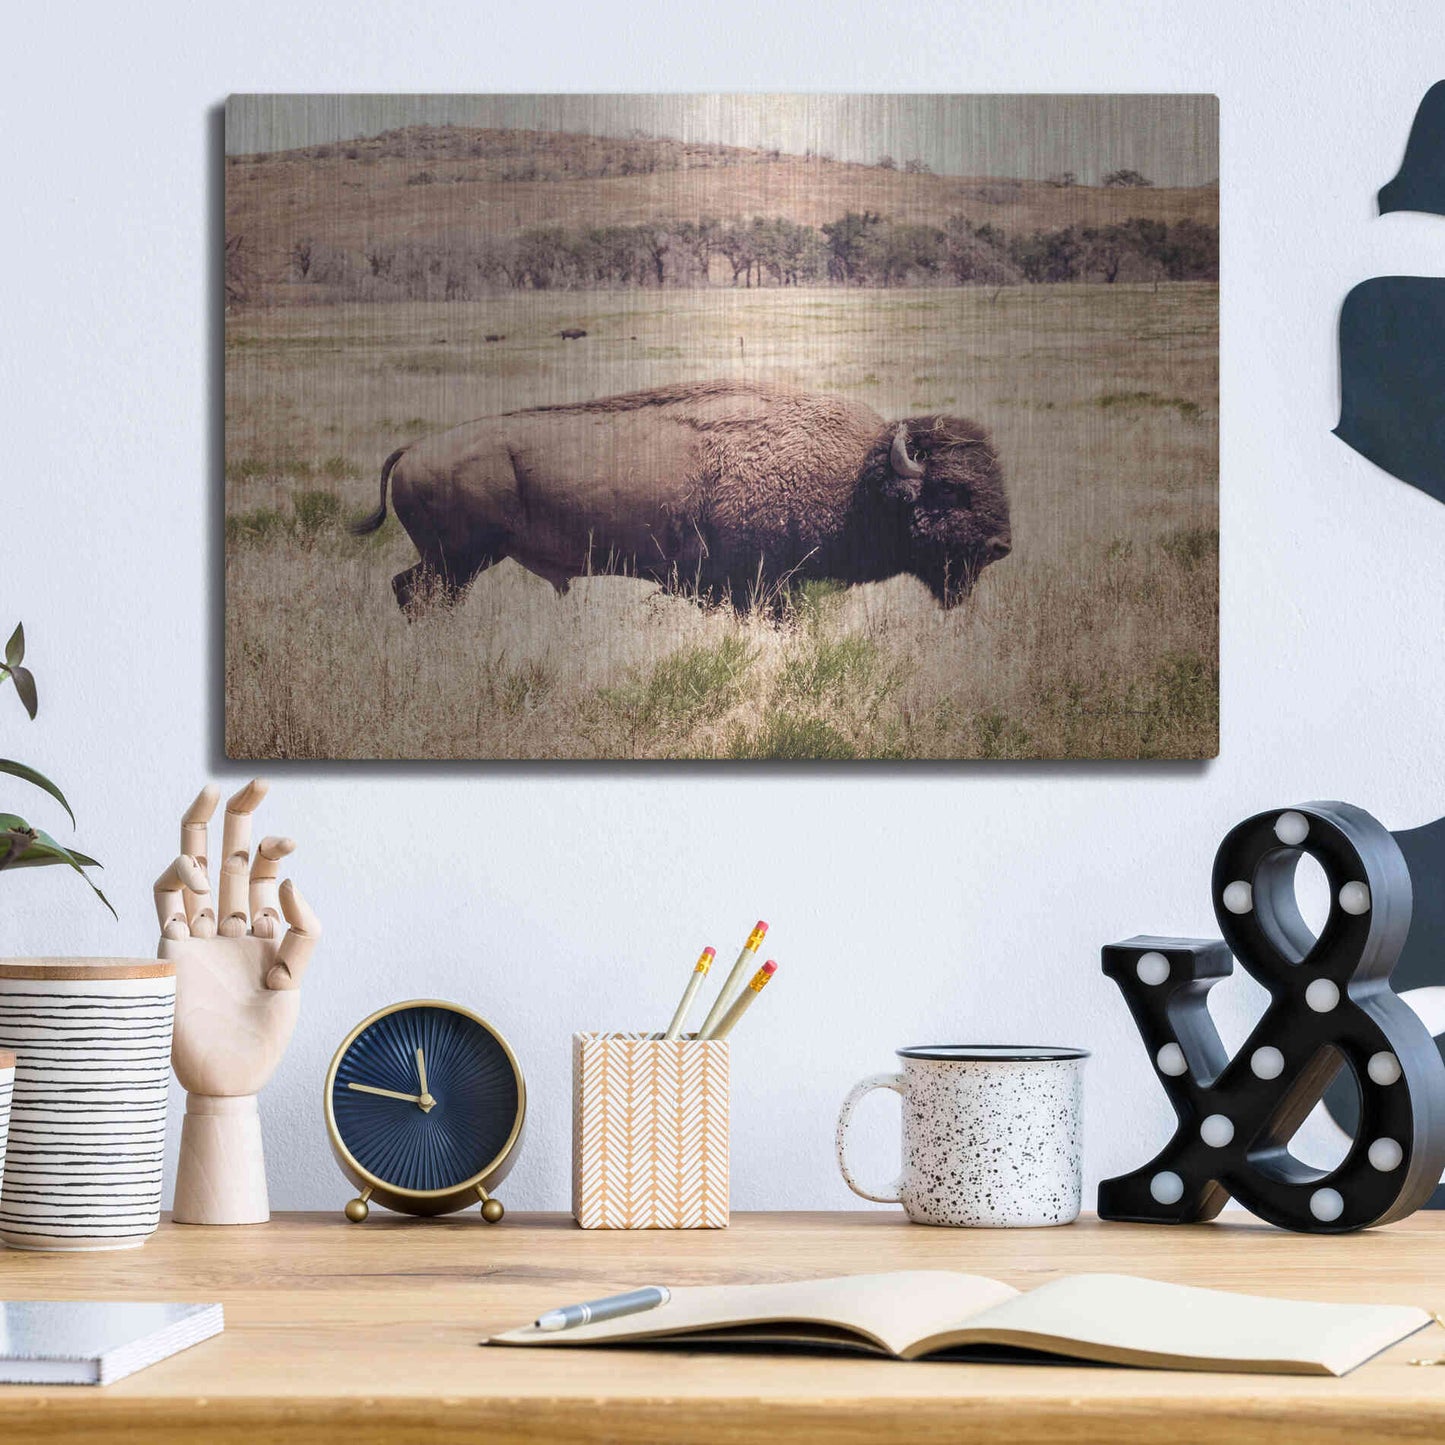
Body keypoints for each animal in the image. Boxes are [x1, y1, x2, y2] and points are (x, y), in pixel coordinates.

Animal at [351, 380, 1011, 614]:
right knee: (417, 593)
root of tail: (414, 449)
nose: (1001, 545)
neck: (857, 479)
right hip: (459, 561)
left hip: (453, 562)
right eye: (950, 489)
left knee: (408, 589)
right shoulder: (759, 588)